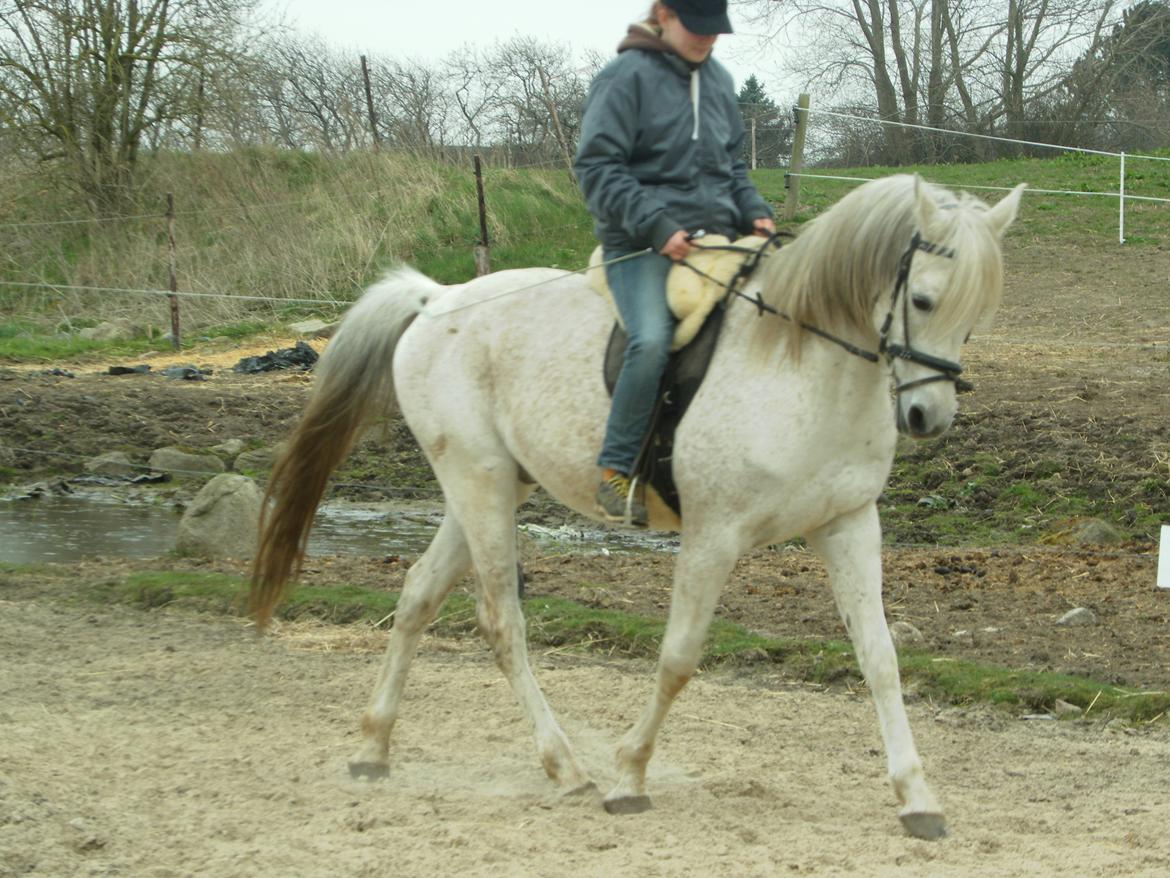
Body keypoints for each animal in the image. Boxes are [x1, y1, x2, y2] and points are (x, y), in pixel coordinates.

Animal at [251, 172, 1020, 838]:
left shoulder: (848, 525)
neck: (801, 362)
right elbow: (679, 657)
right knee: (502, 621)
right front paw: (629, 777)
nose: (927, 416)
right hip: (479, 482)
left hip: (490, 487)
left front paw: (917, 798)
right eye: (923, 300)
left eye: (977, 313)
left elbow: (880, 659)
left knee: (416, 596)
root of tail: (438, 299)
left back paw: (373, 747)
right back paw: (566, 768)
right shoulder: (714, 534)